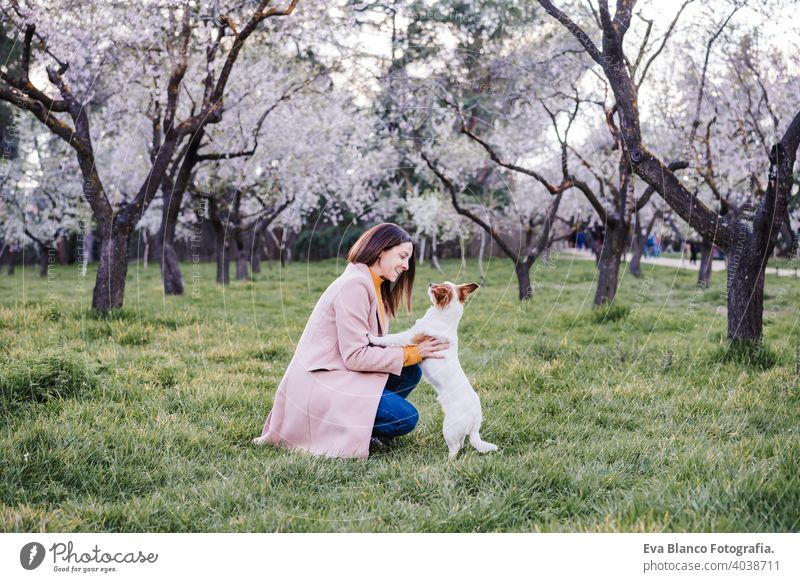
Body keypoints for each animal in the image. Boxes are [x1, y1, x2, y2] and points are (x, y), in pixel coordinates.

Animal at [368, 282, 494, 460]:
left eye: (438, 288)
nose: (430, 283)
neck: (442, 318)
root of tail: (476, 421)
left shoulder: (409, 337)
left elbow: (390, 338)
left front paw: (373, 337)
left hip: (450, 428)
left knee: (455, 449)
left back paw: (447, 462)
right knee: (462, 444)